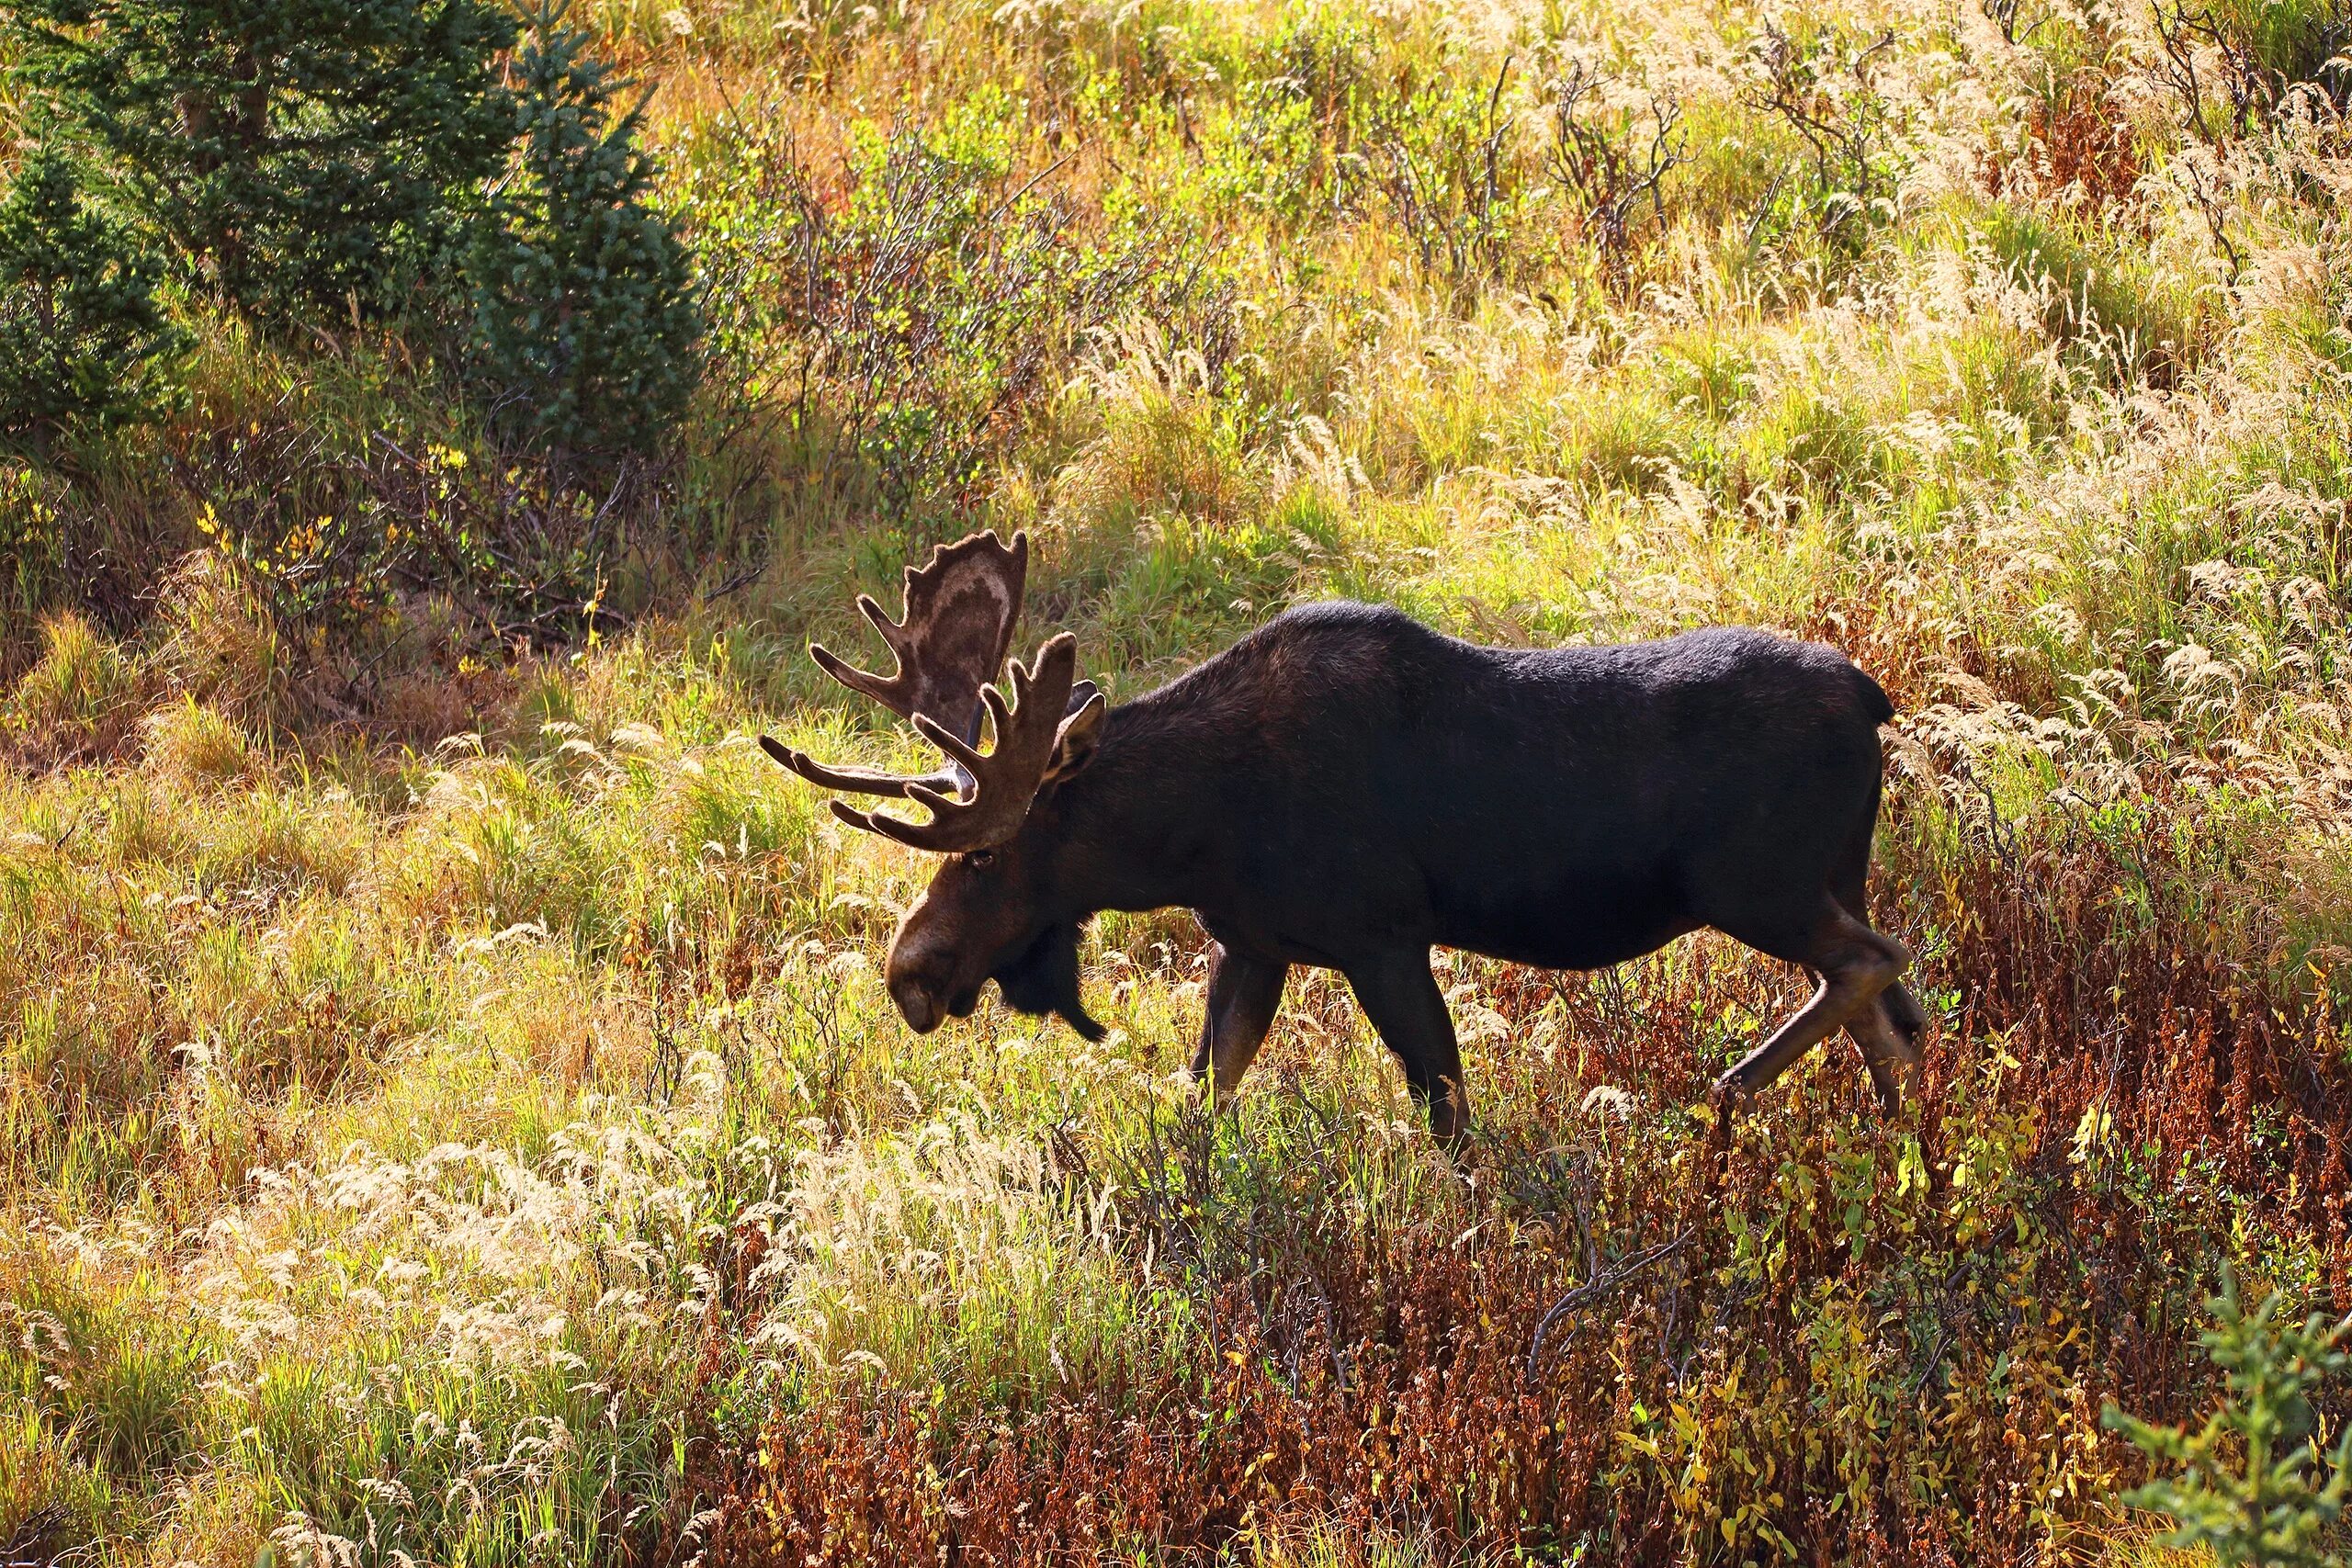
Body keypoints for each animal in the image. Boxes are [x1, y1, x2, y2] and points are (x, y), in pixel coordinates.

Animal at [762, 533, 1918, 1146]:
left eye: (983, 853)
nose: (908, 973)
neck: (1189, 834)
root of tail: (1871, 696)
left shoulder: (1380, 937)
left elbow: (1448, 1113)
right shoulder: (1251, 944)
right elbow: (1204, 1100)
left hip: (1756, 883)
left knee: (1874, 964)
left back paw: (1727, 1095)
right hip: (1830, 876)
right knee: (1890, 1014)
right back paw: (1908, 1150)